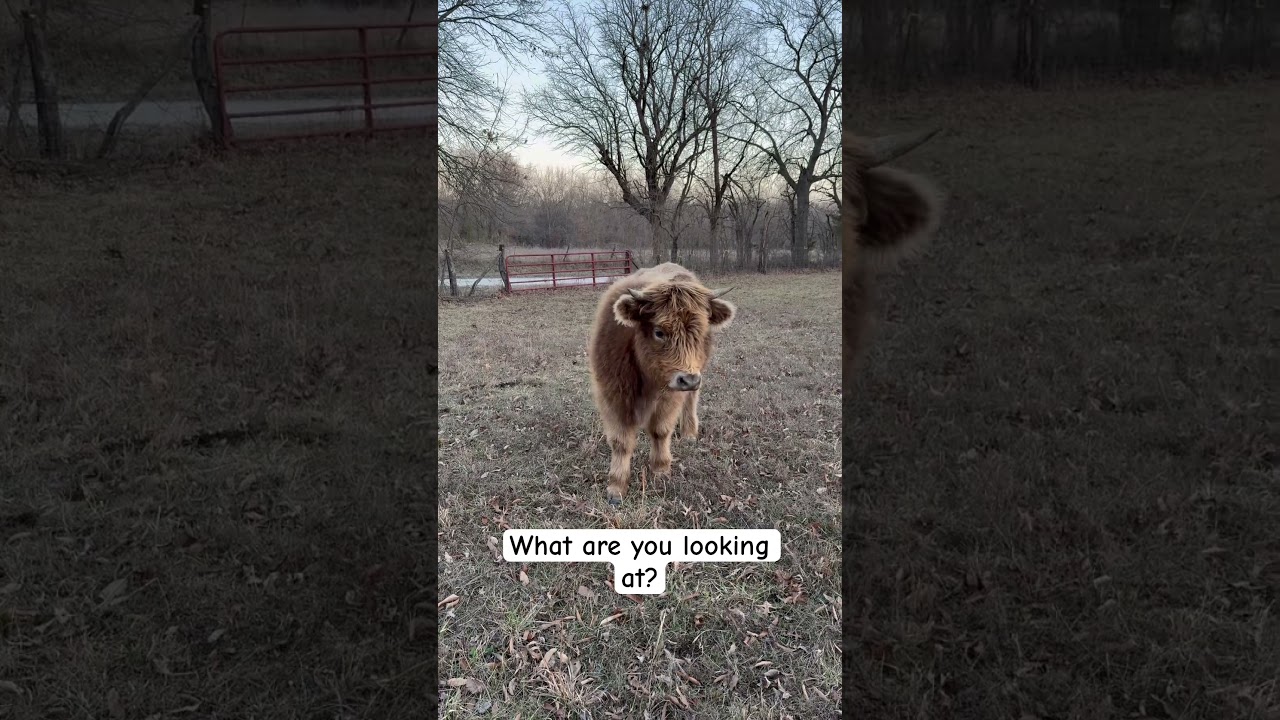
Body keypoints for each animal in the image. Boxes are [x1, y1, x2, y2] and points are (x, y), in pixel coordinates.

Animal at [586, 262, 736, 505]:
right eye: (659, 332)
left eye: (700, 332)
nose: (688, 379)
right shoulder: (612, 395)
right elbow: (620, 442)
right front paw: (616, 487)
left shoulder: (670, 397)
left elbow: (660, 431)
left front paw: (660, 469)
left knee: (691, 401)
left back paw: (689, 433)